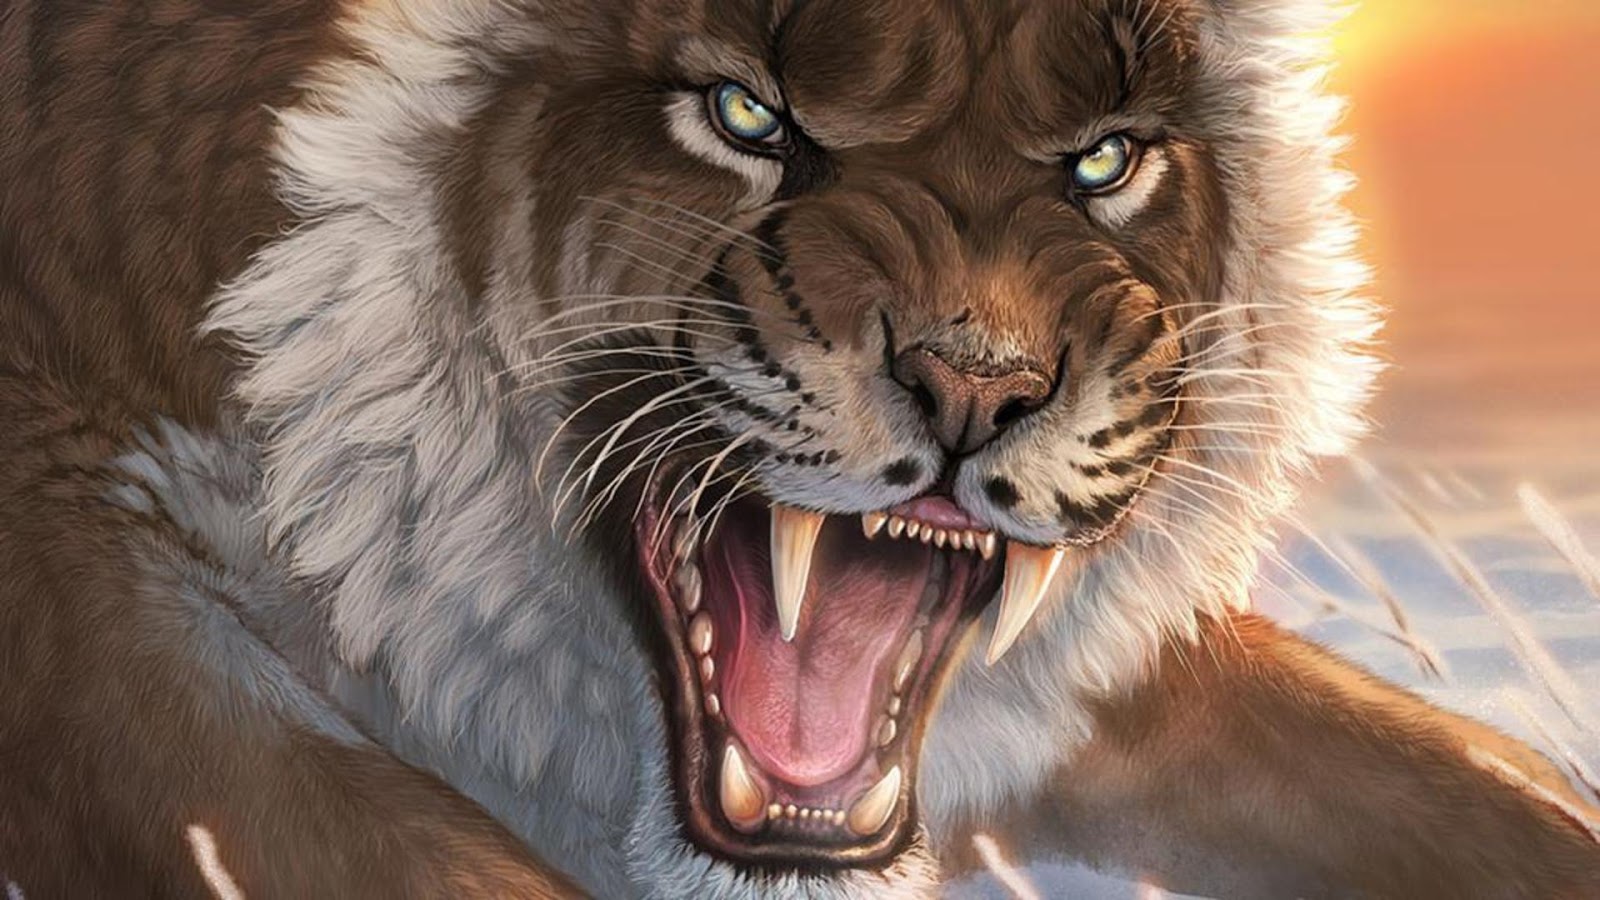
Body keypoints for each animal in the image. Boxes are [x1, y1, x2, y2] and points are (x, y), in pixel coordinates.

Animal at [1, 0, 1597, 897]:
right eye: (745, 115)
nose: (977, 388)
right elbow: (385, 849)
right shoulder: (66, 553)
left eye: (1104, 158)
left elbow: (1463, 780)